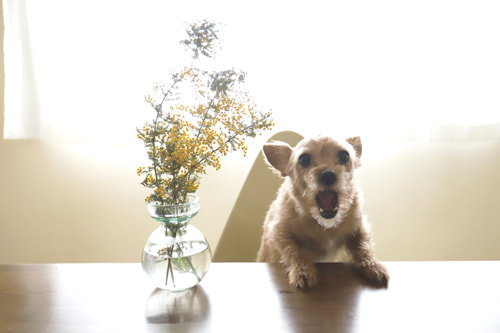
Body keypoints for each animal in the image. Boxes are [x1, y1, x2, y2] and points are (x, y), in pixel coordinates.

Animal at [258, 135, 390, 288]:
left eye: (344, 156)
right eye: (303, 159)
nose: (328, 175)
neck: (324, 225)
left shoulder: (360, 227)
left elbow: (363, 247)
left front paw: (373, 266)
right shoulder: (278, 232)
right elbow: (295, 251)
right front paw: (302, 271)